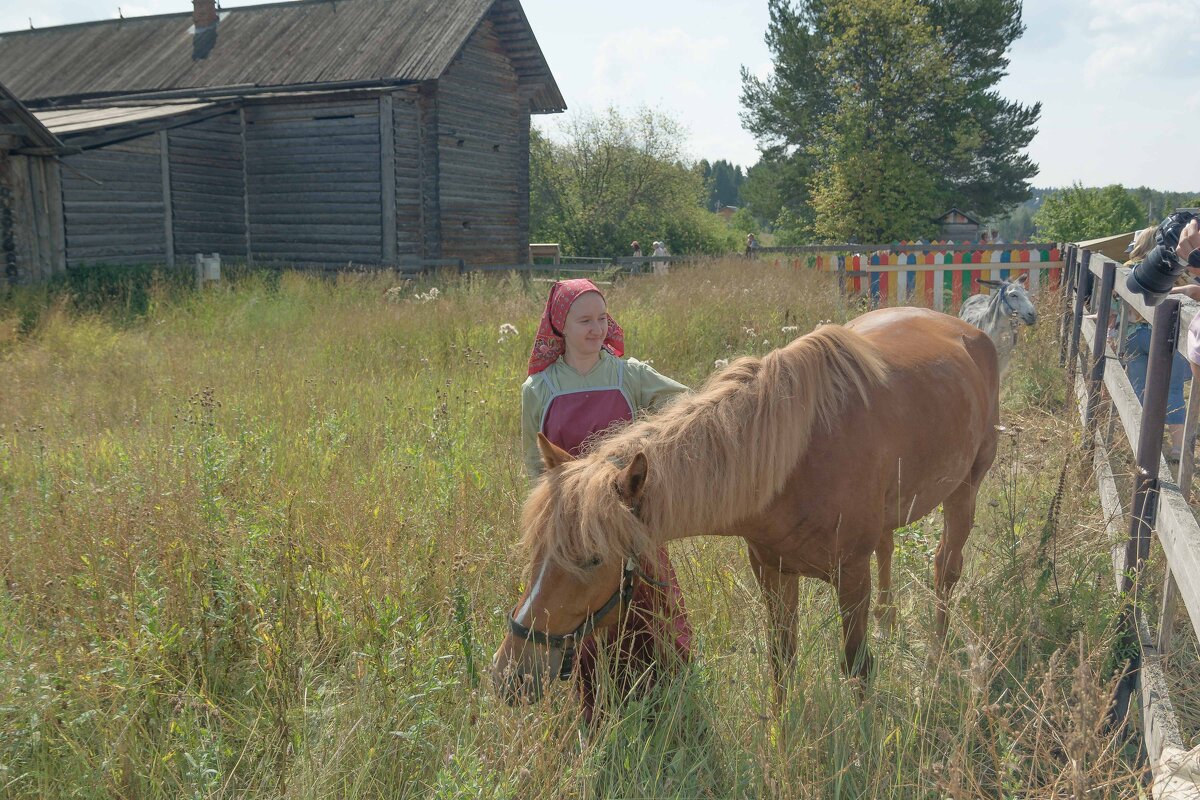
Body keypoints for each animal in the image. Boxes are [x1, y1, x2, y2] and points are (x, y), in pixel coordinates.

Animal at [492, 309, 998, 705]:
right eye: (536, 552)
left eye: (593, 560)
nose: (509, 674)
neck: (796, 460)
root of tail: (964, 329)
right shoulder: (772, 572)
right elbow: (782, 664)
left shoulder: (852, 575)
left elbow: (857, 668)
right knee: (890, 548)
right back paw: (891, 625)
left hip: (965, 490)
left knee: (945, 569)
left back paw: (936, 653)